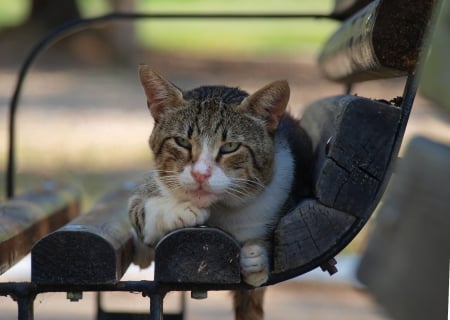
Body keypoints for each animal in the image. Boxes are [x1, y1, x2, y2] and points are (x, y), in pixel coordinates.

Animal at [128, 65, 312, 320]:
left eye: (230, 147)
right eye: (182, 142)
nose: (200, 174)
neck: (220, 209)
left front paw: (256, 258)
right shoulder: (145, 194)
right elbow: (142, 209)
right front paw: (179, 211)